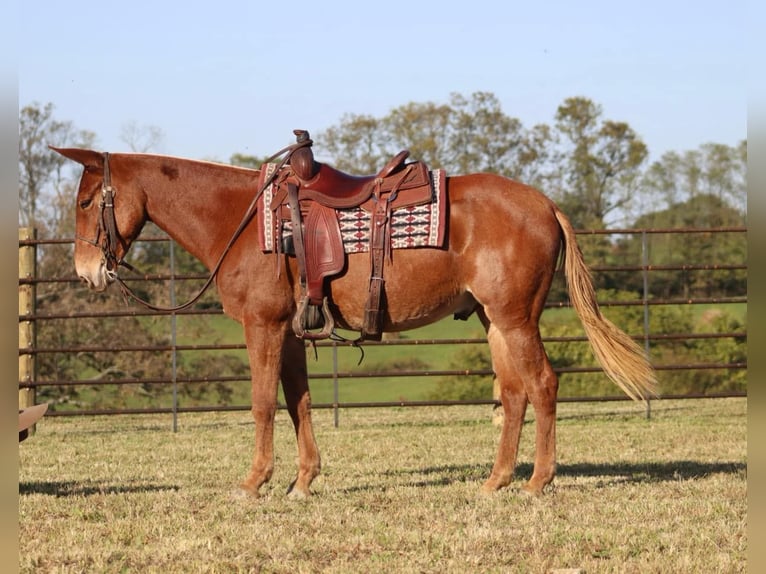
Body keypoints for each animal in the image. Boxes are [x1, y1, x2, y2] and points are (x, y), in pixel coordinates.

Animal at [54, 147, 656, 500]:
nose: (86, 271)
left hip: (516, 317)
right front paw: (301, 482)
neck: (243, 222)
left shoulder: (263, 325)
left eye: (85, 201)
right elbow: (297, 401)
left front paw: (254, 482)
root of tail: (545, 204)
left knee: (543, 384)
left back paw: (536, 481)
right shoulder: (291, 331)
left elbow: (262, 402)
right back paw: (495, 481)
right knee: (512, 393)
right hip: (494, 320)